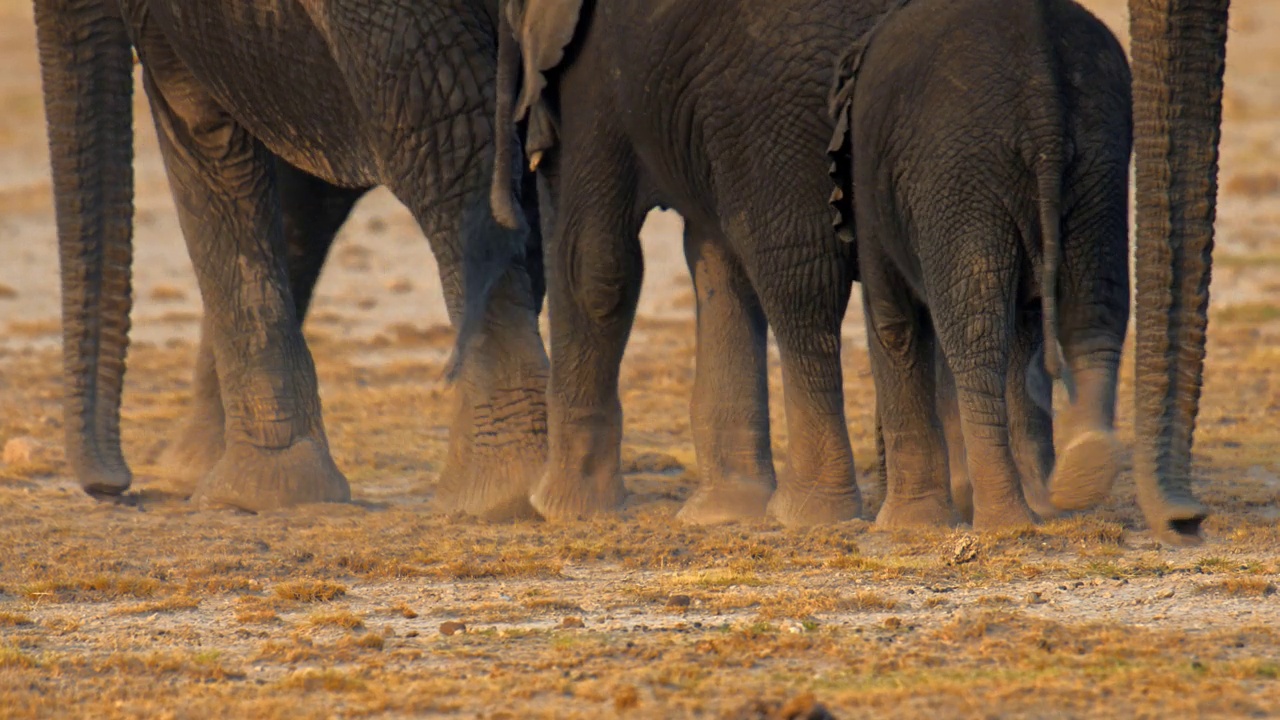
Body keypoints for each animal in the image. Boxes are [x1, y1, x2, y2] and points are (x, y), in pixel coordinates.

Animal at [834, 0, 1136, 527]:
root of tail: (1041, 89)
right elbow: (1026, 328)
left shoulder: (870, 183)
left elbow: (895, 324)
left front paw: (906, 527)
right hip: (1100, 157)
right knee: (1094, 305)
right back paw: (1073, 480)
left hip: (961, 174)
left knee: (976, 334)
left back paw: (1005, 522)